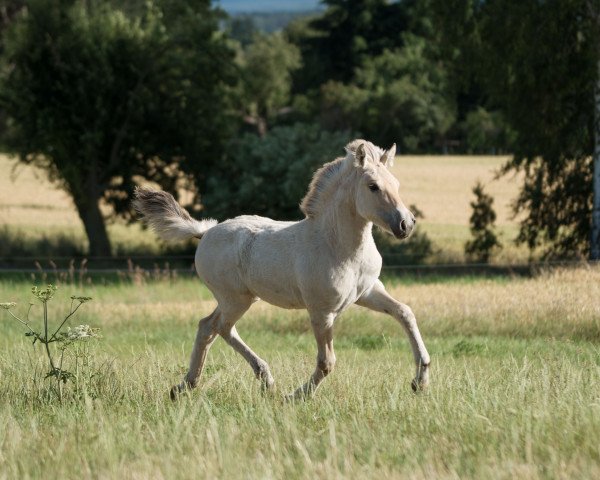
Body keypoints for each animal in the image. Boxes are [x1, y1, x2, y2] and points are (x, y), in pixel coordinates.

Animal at [134, 140, 428, 402]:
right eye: (373, 186)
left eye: (396, 184)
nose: (406, 224)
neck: (336, 245)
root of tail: (206, 231)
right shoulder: (321, 312)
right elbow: (327, 362)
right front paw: (296, 396)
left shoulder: (367, 292)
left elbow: (405, 313)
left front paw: (420, 381)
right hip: (234, 299)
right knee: (219, 327)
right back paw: (258, 381)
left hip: (239, 298)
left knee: (210, 326)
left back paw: (190, 386)